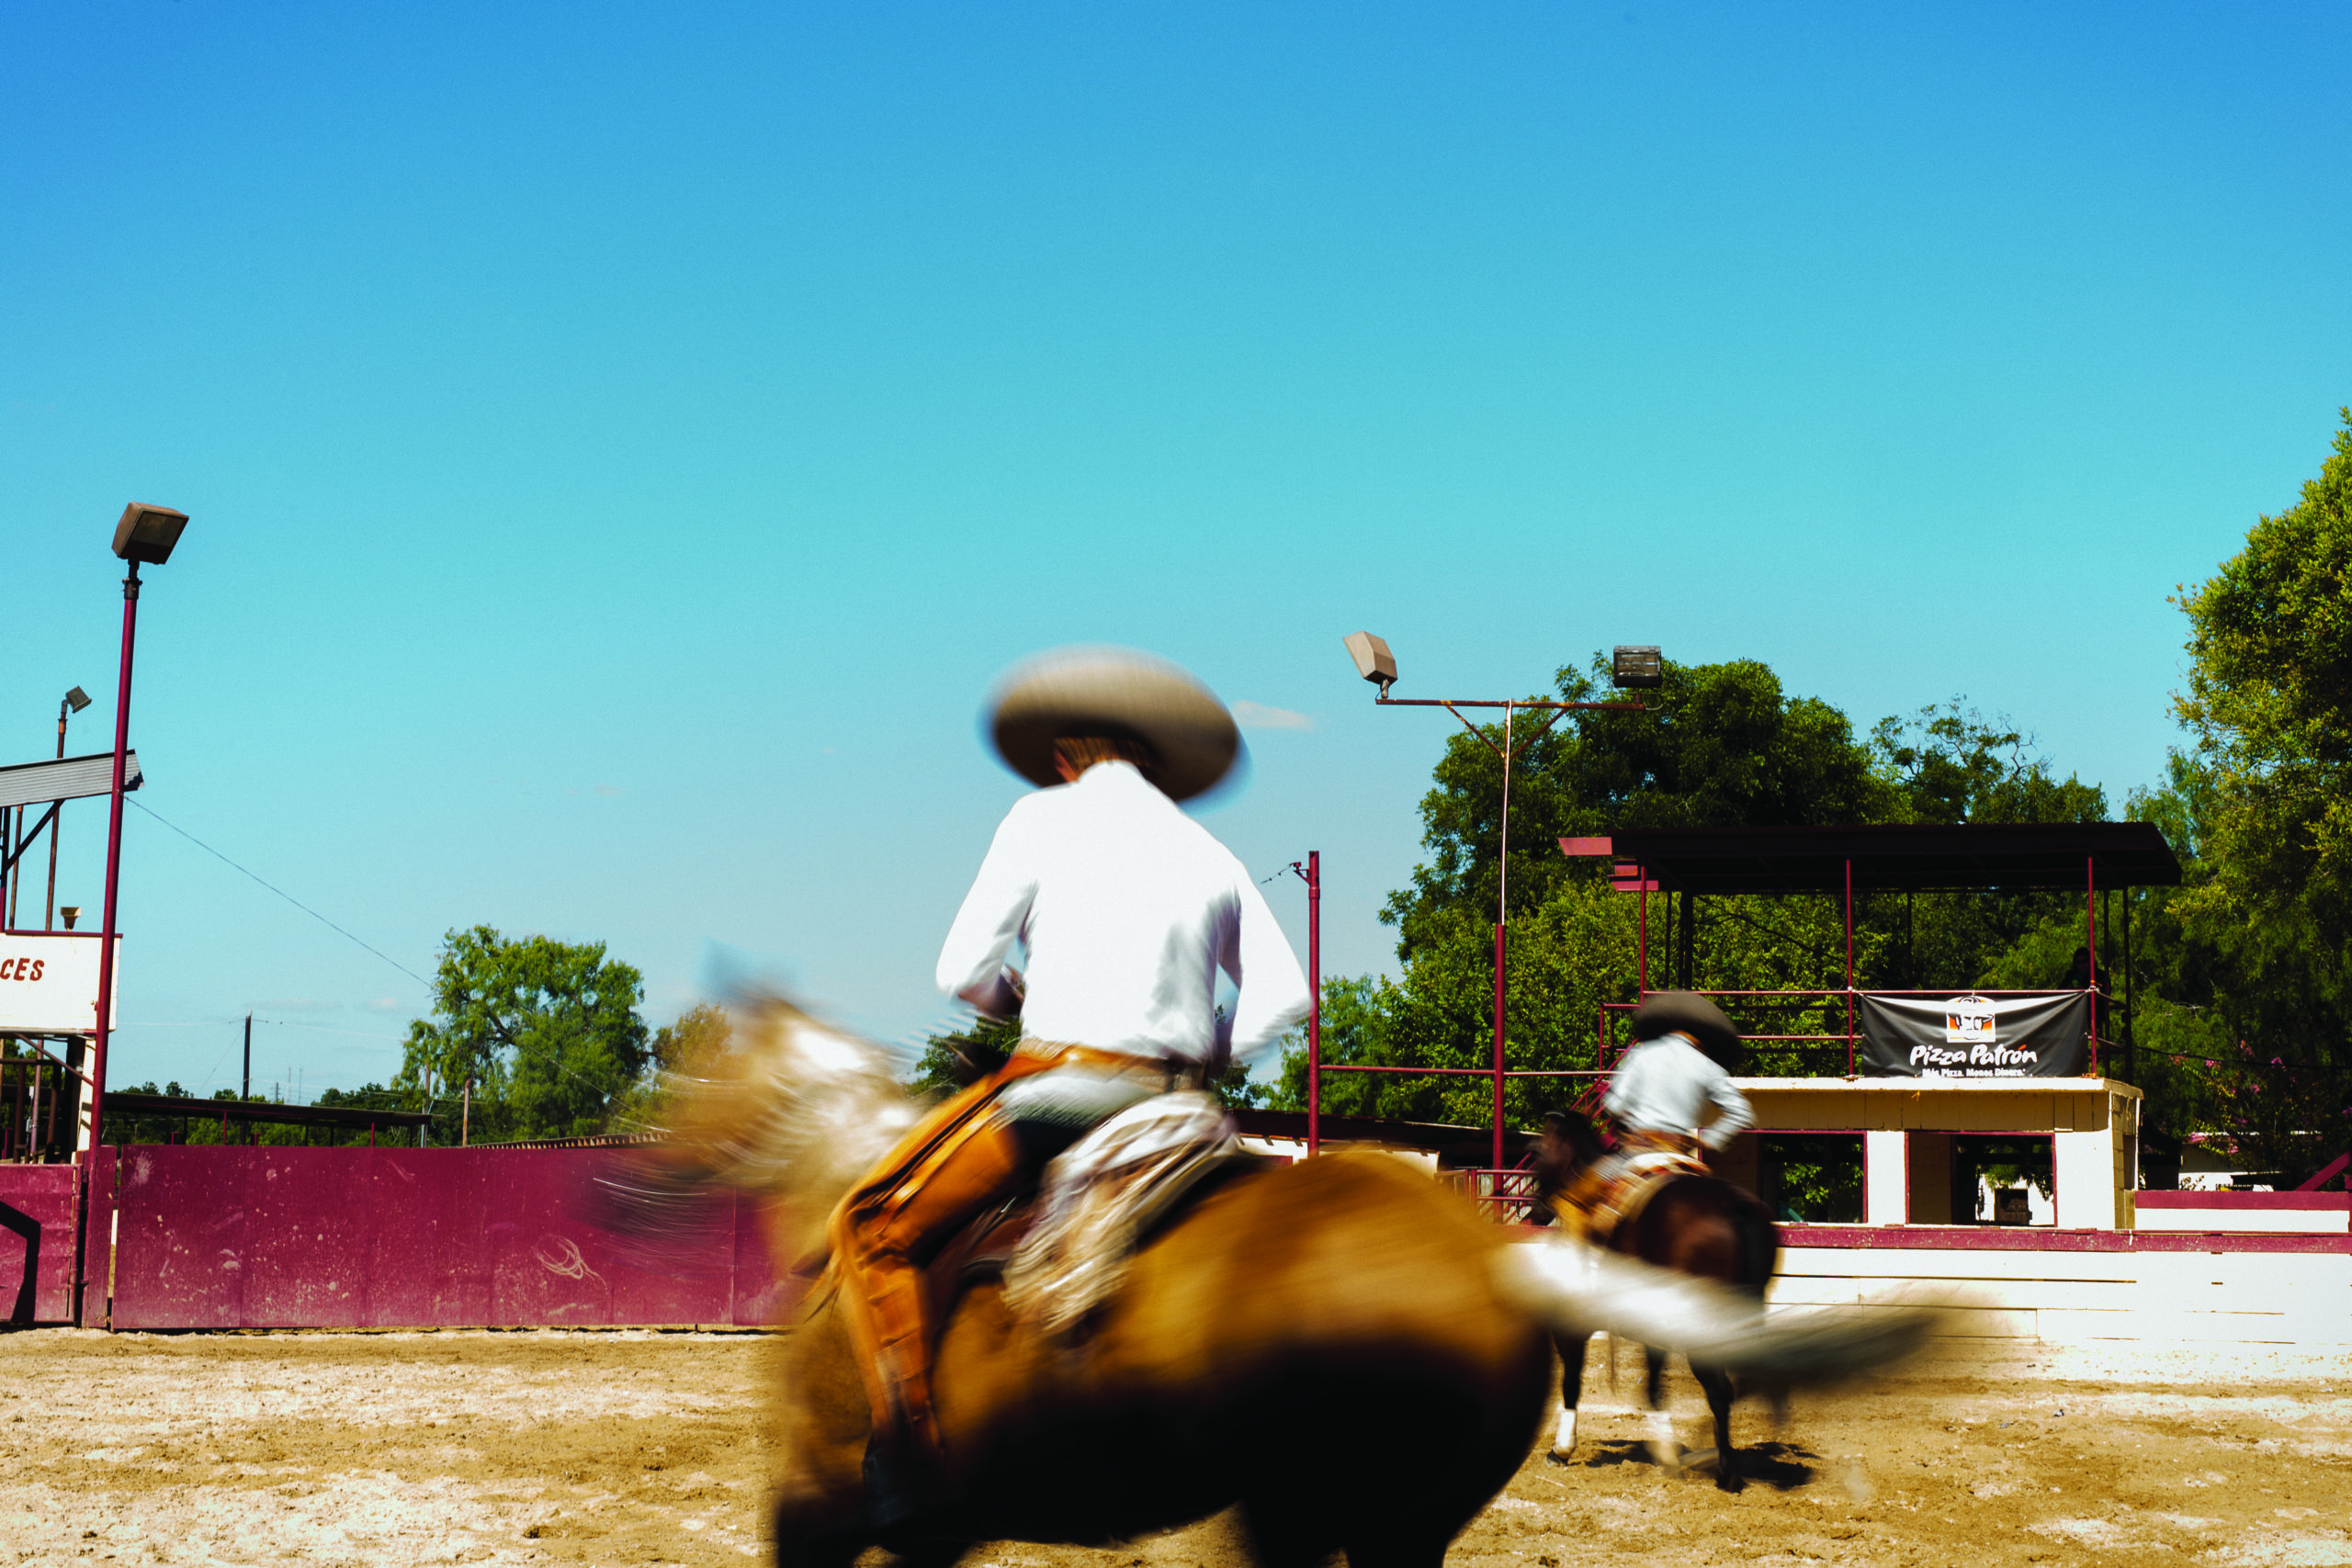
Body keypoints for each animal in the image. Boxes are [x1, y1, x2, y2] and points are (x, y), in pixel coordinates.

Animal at [1533, 1104, 1769, 1495]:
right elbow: (1654, 1387)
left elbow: (1572, 1382)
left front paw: (1561, 1449)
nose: (1535, 1212)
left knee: (1719, 1389)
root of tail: (1733, 1208)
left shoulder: (1572, 1325)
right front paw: (1667, 1454)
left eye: (1537, 1152)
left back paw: (1725, 1472)